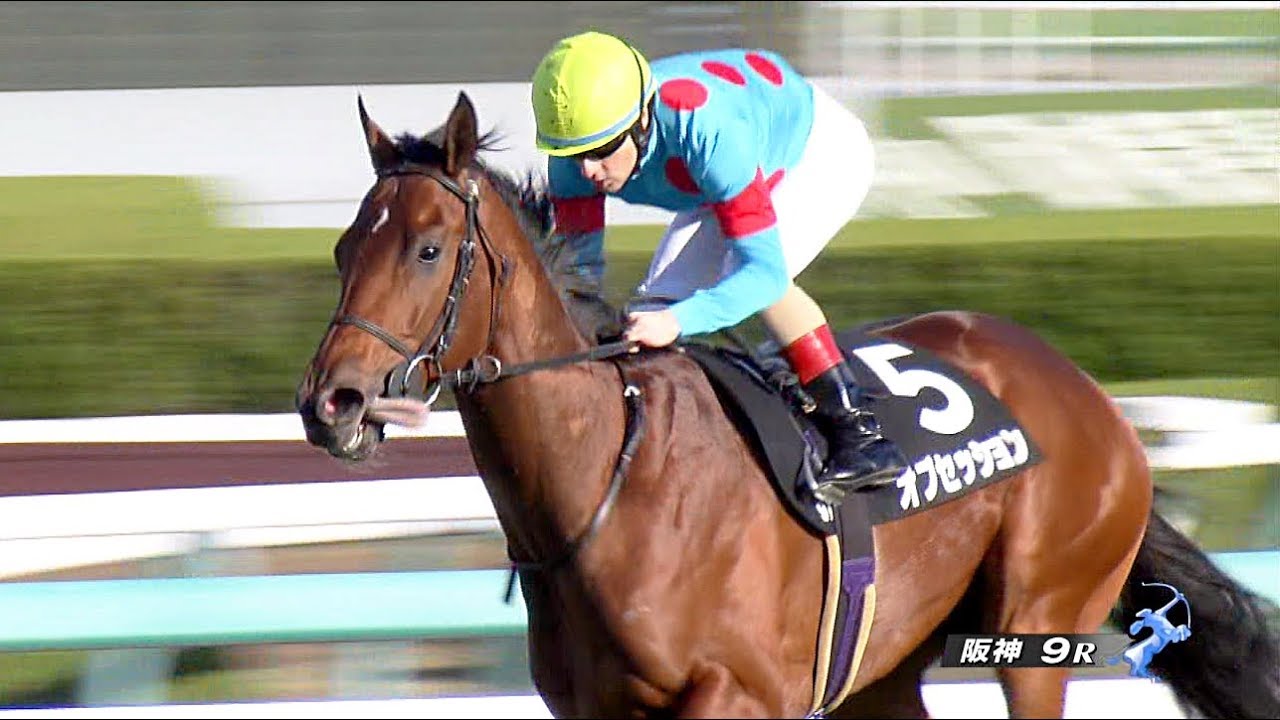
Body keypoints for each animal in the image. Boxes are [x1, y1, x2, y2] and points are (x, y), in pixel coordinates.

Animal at [295, 91, 1279, 719]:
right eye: (345, 248)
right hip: (886, 669)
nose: (330, 402)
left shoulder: (738, 692)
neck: (612, 480)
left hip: (1038, 628)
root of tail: (1089, 395)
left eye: (427, 249)